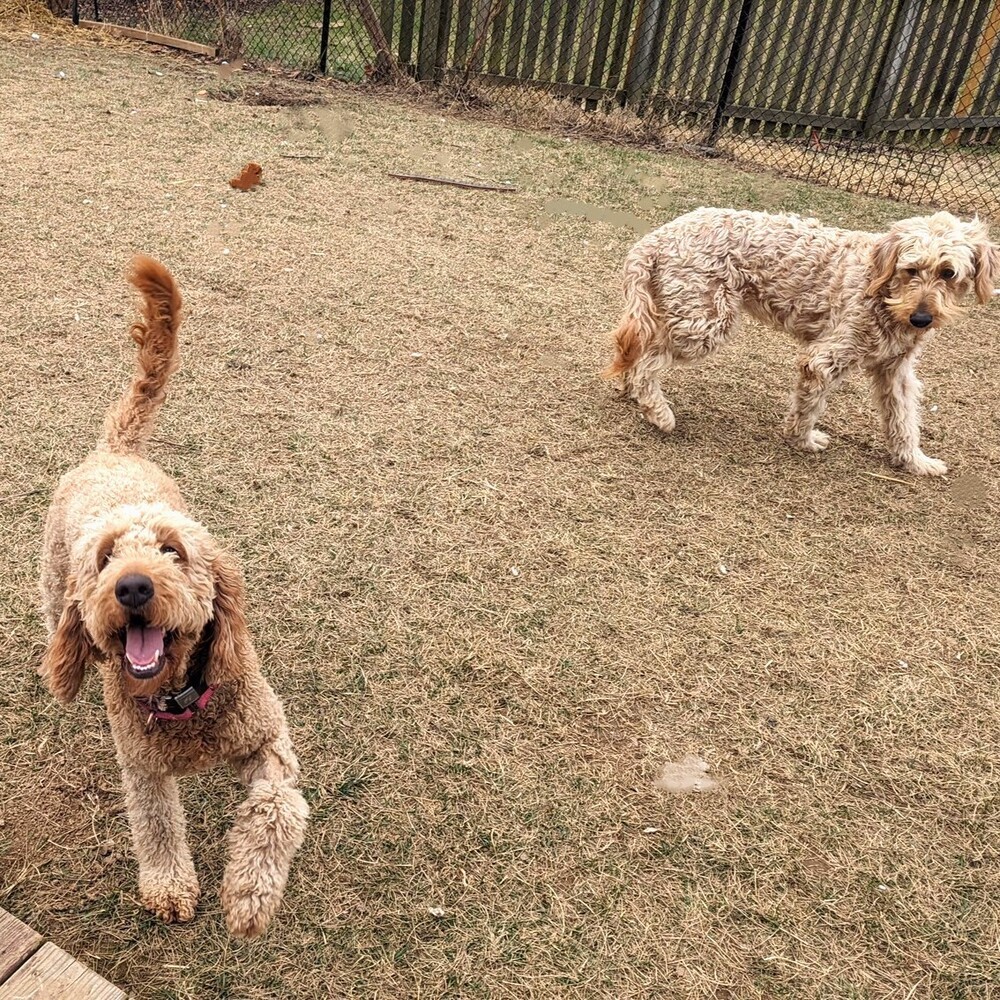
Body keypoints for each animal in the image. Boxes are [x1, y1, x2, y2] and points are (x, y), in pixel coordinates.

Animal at [38, 252, 308, 936]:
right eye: (106, 557)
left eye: (172, 551)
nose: (132, 585)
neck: (180, 700)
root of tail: (113, 449)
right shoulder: (144, 768)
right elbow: (157, 826)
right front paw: (169, 888)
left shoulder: (268, 739)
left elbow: (276, 804)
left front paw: (248, 897)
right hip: (52, 581)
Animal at [604, 205, 996, 474]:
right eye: (911, 269)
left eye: (948, 273)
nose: (921, 319)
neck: (882, 289)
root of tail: (656, 237)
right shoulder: (824, 360)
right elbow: (809, 407)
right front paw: (803, 440)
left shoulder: (895, 370)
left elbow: (904, 421)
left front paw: (915, 461)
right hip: (703, 323)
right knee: (647, 362)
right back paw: (657, 411)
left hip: (678, 310)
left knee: (634, 344)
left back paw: (632, 391)